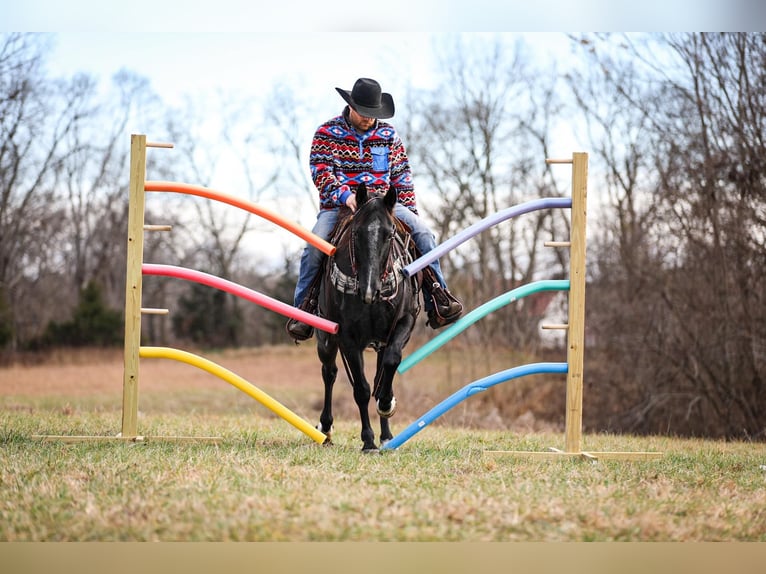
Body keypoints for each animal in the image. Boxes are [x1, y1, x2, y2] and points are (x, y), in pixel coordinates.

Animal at [316, 182, 420, 452]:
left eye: (389, 234)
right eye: (356, 233)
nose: (369, 290)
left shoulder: (403, 323)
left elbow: (390, 366)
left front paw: (386, 405)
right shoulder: (347, 337)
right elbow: (361, 389)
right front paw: (368, 440)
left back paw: (387, 434)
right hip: (325, 340)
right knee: (329, 373)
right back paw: (326, 427)